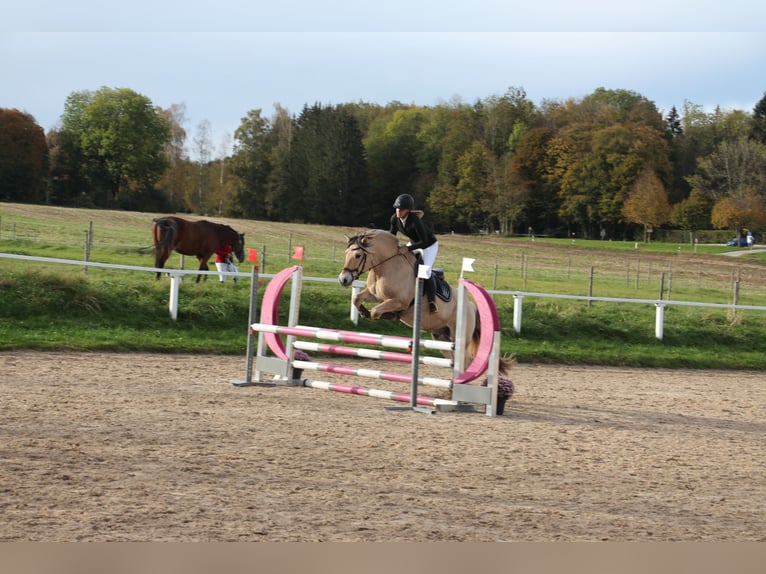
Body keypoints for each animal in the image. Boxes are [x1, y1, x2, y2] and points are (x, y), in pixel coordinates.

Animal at [337, 229, 509, 374]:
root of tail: (471, 306)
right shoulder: (376, 296)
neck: (386, 267)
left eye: (358, 255)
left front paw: (382, 315)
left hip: (459, 337)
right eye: (345, 253)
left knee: (464, 362)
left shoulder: (400, 301)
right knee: (453, 359)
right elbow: (357, 298)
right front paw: (362, 312)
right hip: (440, 337)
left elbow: (376, 311)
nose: (343, 279)